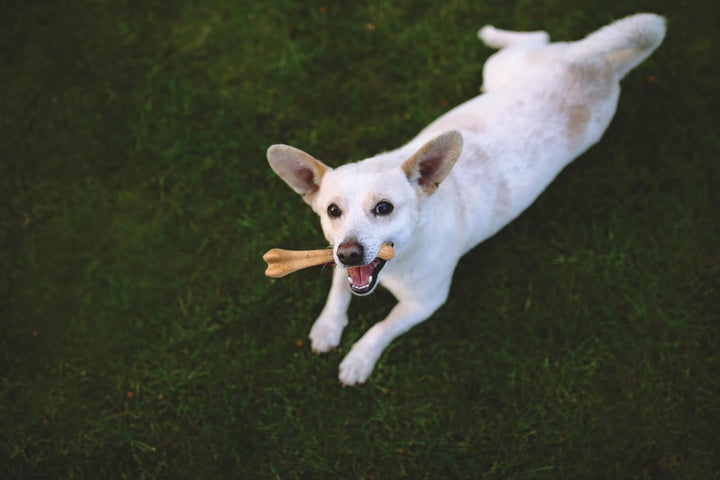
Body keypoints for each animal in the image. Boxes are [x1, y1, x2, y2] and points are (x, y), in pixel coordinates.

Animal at [268, 13, 668, 384]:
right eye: (332, 211)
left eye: (384, 208)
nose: (349, 253)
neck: (401, 260)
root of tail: (601, 65)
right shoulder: (339, 259)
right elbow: (338, 287)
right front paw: (327, 327)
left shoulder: (425, 304)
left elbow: (382, 327)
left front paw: (359, 359)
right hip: (501, 73)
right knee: (539, 37)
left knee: (539, 35)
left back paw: (492, 33)